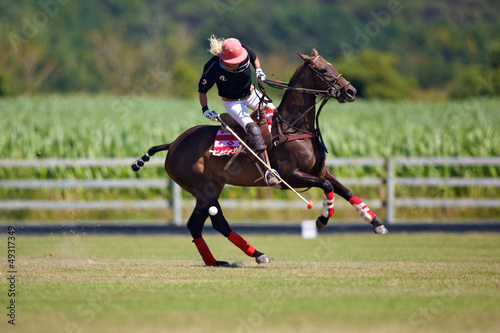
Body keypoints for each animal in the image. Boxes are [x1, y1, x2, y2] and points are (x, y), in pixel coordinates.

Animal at [132, 48, 386, 266]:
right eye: (323, 70)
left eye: (332, 65)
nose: (351, 92)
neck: (293, 126)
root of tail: (174, 144)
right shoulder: (290, 176)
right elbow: (327, 187)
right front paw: (322, 219)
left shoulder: (320, 170)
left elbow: (346, 190)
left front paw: (375, 222)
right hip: (202, 188)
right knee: (218, 221)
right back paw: (258, 254)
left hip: (211, 187)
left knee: (195, 225)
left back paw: (215, 261)